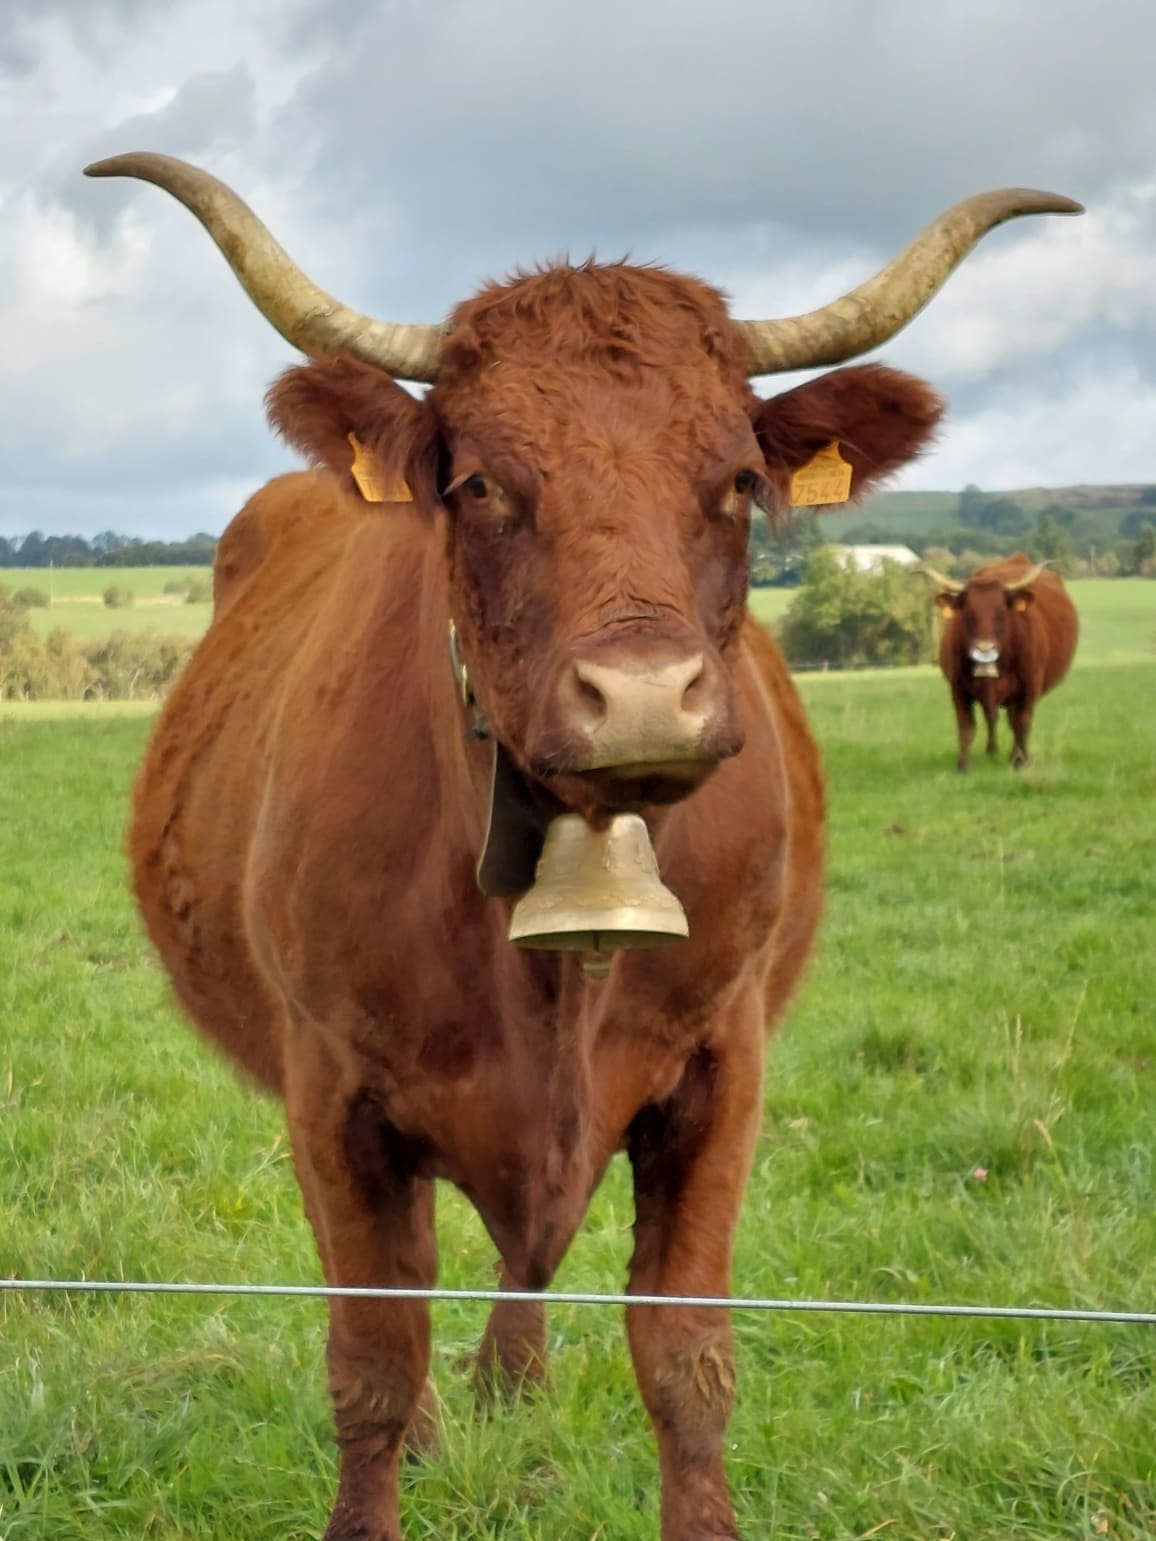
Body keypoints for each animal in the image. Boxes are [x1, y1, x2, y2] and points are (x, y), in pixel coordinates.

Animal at [920, 554, 1079, 771]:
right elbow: (966, 727)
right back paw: (993, 752)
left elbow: (1022, 722)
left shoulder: (1030, 686)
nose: (984, 650)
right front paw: (962, 766)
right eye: (968, 615)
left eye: (1002, 614)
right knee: (993, 717)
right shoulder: (958, 688)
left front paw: (1020, 762)